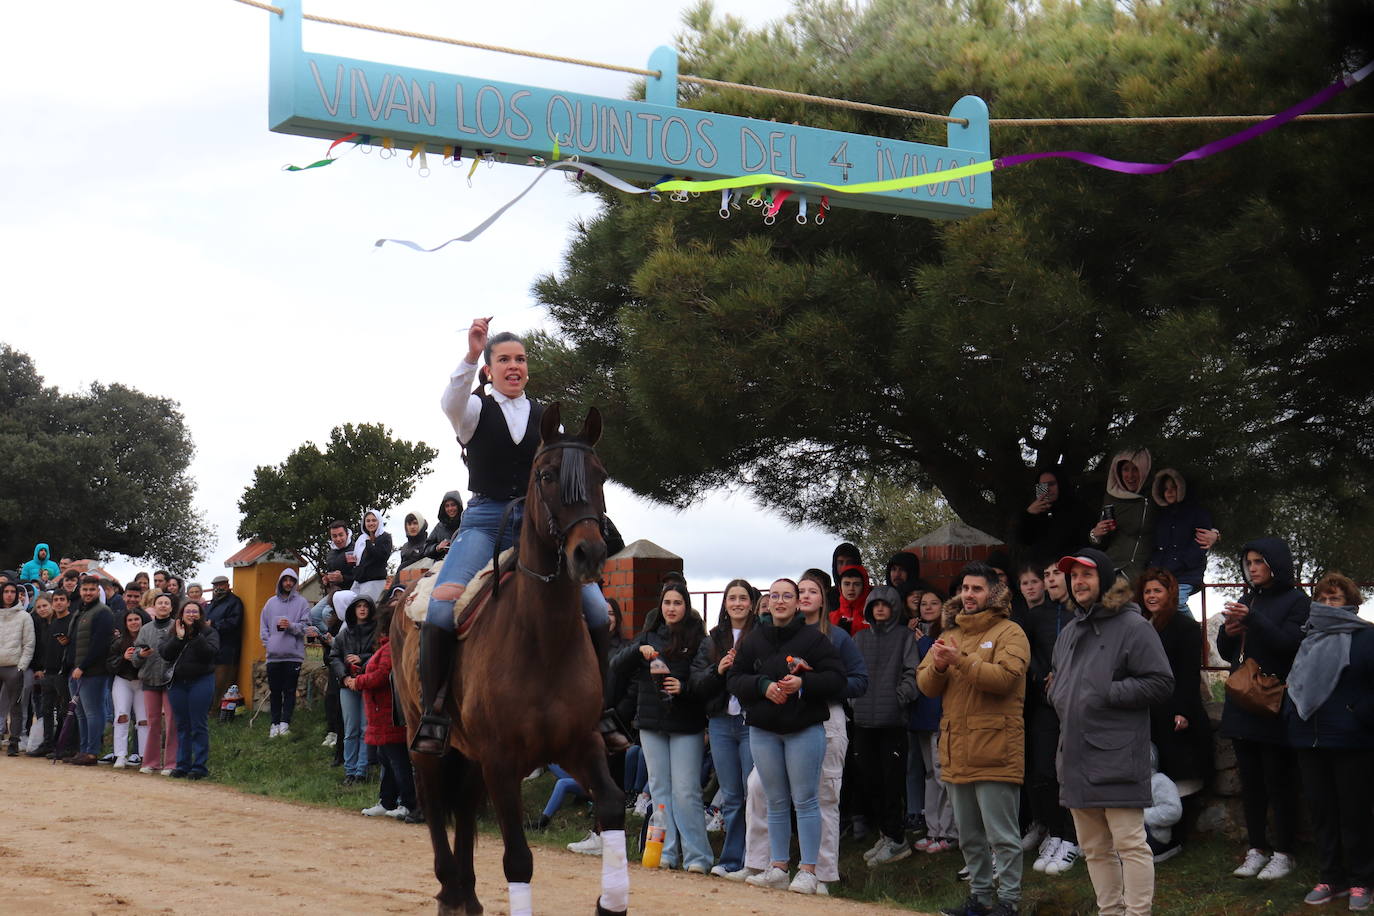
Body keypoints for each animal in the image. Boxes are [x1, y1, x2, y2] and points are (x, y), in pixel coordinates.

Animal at [395, 406, 629, 916]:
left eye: (601, 475)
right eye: (545, 475)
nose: (589, 553)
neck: (543, 642)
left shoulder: (581, 744)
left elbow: (612, 805)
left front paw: (611, 902)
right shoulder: (501, 761)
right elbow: (518, 859)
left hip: (470, 754)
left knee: (462, 808)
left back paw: (467, 895)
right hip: (423, 739)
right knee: (434, 804)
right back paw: (450, 890)